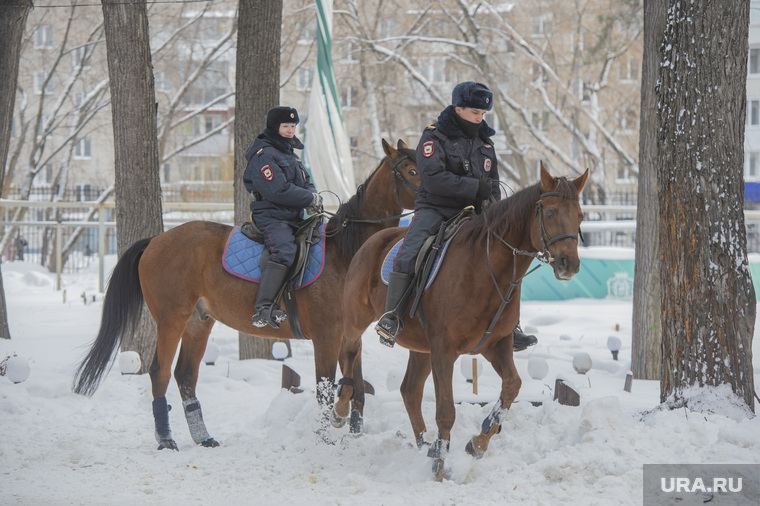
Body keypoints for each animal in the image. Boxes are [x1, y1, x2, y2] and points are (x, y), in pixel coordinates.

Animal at [73, 138, 418, 450]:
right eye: (413, 170)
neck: (346, 253)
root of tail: (156, 240)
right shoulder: (327, 336)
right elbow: (326, 389)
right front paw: (326, 437)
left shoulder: (350, 335)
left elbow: (355, 387)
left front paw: (349, 428)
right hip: (172, 319)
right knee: (160, 372)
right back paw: (166, 439)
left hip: (199, 322)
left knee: (186, 375)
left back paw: (203, 437)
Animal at [332, 165, 588, 478]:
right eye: (550, 213)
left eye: (580, 215)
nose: (569, 264)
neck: (486, 269)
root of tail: (374, 240)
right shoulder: (444, 351)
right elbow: (446, 411)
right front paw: (441, 467)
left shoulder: (496, 344)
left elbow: (512, 386)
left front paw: (478, 441)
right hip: (358, 320)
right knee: (349, 350)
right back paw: (342, 408)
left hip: (421, 347)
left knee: (410, 391)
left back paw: (425, 445)